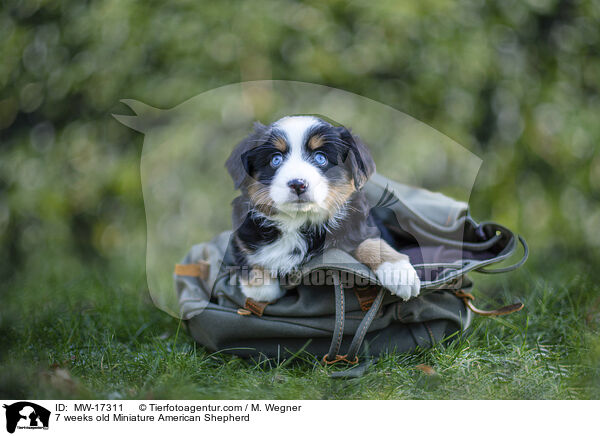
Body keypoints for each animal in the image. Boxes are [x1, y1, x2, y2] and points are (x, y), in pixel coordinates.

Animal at [226, 116, 422, 304]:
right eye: (276, 159)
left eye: (320, 158)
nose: (298, 184)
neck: (299, 221)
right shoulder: (241, 235)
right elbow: (248, 255)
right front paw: (260, 284)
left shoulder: (359, 225)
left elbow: (371, 242)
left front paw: (399, 271)